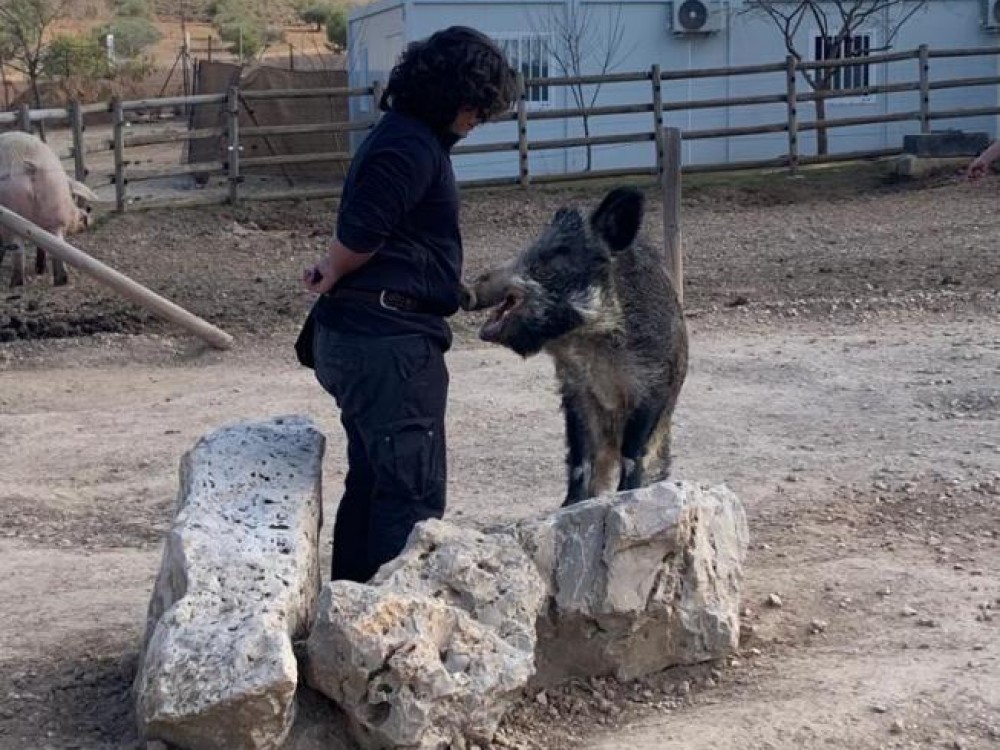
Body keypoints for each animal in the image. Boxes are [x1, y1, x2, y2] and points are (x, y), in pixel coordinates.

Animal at [0, 131, 100, 287]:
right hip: (53, 203)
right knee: (56, 245)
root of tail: (25, 165)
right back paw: (59, 280)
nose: (87, 217)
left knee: (19, 249)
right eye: (74, 197)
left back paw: (17, 283)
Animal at [461, 187, 688, 507]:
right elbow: (580, 459)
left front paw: (626, 496)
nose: (467, 290)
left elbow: (632, 453)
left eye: (559, 253)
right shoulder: (574, 390)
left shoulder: (653, 383)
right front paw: (570, 505)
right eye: (533, 245)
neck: (591, 341)